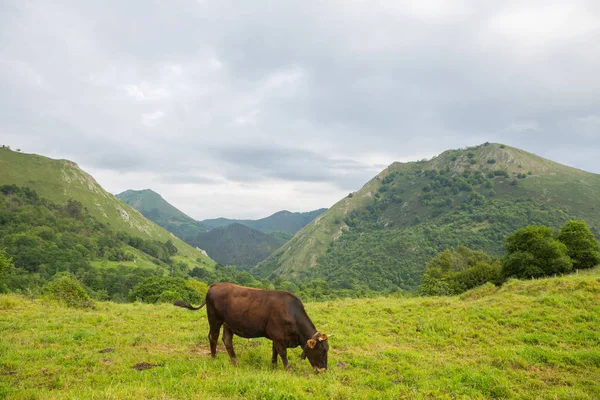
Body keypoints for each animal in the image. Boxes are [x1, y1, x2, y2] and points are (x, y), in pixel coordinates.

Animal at [173, 282, 332, 372]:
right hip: (215, 319)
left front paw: (274, 367)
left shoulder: (277, 337)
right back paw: (214, 358)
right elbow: (282, 352)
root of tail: (215, 285)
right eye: (322, 351)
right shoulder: (278, 335)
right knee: (213, 337)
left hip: (228, 323)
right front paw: (288, 369)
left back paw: (235, 362)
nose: (323, 370)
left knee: (227, 340)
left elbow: (275, 351)